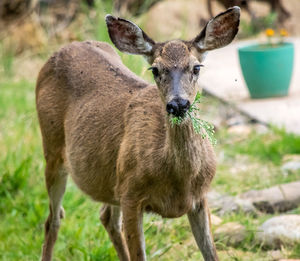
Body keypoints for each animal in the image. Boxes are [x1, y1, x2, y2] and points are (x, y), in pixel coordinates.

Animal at [35, 6, 239, 260]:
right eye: (155, 69)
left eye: (196, 67)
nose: (178, 104)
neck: (179, 179)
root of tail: (65, 48)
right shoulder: (131, 194)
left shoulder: (200, 198)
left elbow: (211, 253)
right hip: (52, 150)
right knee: (54, 219)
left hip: (112, 178)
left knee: (106, 217)